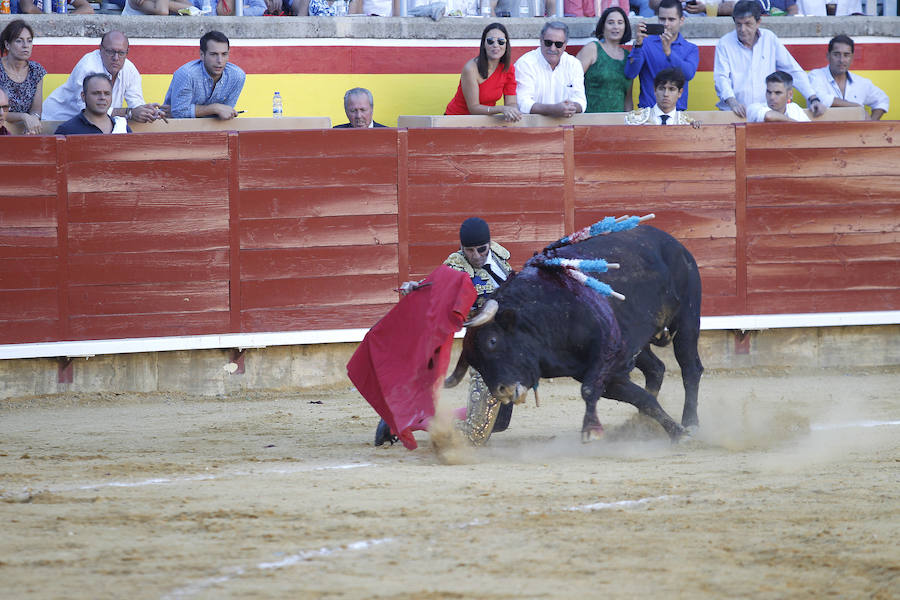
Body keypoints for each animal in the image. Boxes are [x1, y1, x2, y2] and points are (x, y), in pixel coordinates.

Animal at [446, 225, 708, 440]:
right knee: (656, 369)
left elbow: (591, 391)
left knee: (690, 367)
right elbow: (641, 398)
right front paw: (675, 432)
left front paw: (590, 431)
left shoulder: (607, 357)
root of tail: (674, 243)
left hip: (687, 316)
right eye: (475, 363)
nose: (501, 392)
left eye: (492, 341)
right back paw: (641, 425)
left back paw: (692, 422)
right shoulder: (601, 373)